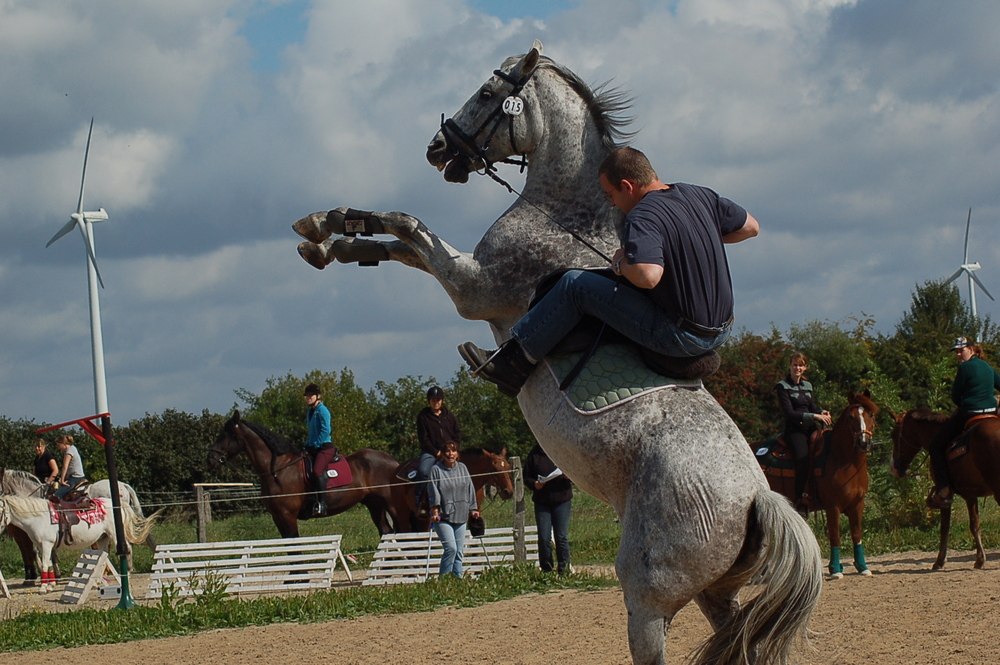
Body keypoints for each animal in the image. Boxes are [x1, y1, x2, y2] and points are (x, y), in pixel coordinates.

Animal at [0, 492, 157, 592]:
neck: (38, 517)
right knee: (104, 557)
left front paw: (43, 588)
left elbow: (44, 565)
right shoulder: (44, 545)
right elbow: (49, 565)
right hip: (103, 537)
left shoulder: (46, 544)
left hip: (115, 535)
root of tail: (119, 504)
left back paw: (126, 576)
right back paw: (98, 582)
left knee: (127, 550)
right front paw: (50, 585)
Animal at [209, 410, 400, 536]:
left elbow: (295, 545)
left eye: (226, 434)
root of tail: (393, 460)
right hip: (374, 503)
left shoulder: (287, 515)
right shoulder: (277, 516)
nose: (210, 459)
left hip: (390, 503)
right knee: (386, 531)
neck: (277, 470)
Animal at [292, 41, 824, 664]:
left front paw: (327, 231)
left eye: (487, 94)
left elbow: (410, 228)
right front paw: (332, 232)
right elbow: (401, 241)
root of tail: (759, 500)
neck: (564, 217)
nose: (437, 148)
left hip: (649, 593)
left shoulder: (473, 286)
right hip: (717, 592)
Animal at [752, 392, 880, 580]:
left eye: (871, 414)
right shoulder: (833, 506)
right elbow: (835, 535)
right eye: (851, 417)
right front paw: (835, 569)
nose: (864, 442)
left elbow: (857, 534)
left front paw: (862, 566)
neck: (842, 460)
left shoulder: (858, 504)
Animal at [892, 408, 1000, 568]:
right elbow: (975, 525)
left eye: (893, 435)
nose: (895, 468)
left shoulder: (945, 495)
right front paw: (980, 559)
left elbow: (944, 528)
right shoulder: (970, 494)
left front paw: (939, 561)